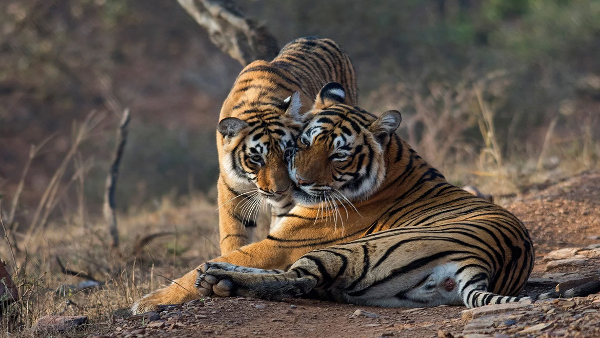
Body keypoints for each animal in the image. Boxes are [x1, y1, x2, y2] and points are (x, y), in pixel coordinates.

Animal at [131, 37, 356, 314]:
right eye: (256, 159)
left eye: (288, 152)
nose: (280, 190)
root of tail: (319, 38)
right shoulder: (230, 188)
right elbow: (234, 238)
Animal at [193, 82, 536, 308]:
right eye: (304, 142)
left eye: (338, 155)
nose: (298, 183)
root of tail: (482, 261)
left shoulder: (286, 241)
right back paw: (217, 278)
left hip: (351, 250)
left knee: (298, 279)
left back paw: (215, 276)